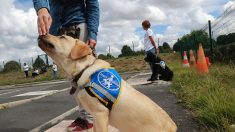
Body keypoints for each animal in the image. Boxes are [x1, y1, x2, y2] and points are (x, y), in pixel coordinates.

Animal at [37, 34, 176, 132]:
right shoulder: (96, 117)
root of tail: (174, 127)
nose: (42, 33)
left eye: (62, 37)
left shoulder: (100, 114)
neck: (84, 69)